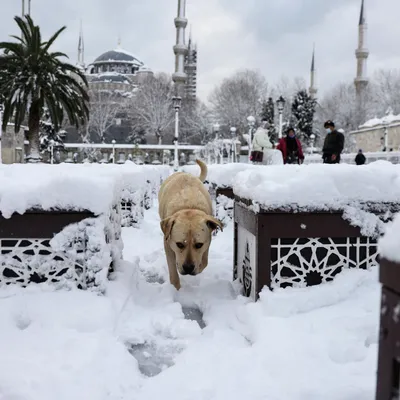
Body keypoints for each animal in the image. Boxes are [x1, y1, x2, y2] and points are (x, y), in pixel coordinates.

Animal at [159, 160, 222, 290]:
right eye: (179, 244)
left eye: (198, 245)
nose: (188, 268)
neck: (189, 207)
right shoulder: (168, 243)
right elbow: (173, 269)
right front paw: (176, 289)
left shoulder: (207, 242)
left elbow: (204, 262)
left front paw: (199, 266)